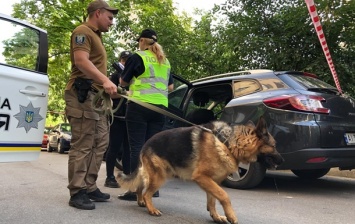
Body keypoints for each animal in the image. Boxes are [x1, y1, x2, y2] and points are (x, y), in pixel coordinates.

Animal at [117, 117, 284, 224]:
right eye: (274, 146)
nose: (282, 161)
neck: (227, 144)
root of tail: (146, 144)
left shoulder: (212, 180)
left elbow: (213, 200)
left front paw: (216, 216)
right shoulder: (202, 177)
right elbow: (224, 196)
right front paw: (231, 215)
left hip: (155, 174)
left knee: (140, 187)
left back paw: (141, 202)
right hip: (159, 177)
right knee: (147, 192)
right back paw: (151, 209)